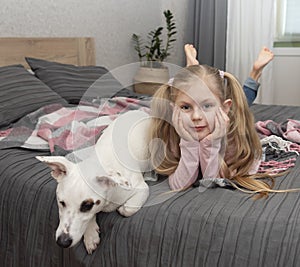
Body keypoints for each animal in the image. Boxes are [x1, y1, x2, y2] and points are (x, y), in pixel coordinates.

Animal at [36, 110, 151, 255]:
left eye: (87, 206)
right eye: (61, 202)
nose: (62, 242)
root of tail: (140, 111)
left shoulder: (141, 188)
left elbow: (128, 209)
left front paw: (123, 208)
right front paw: (91, 235)